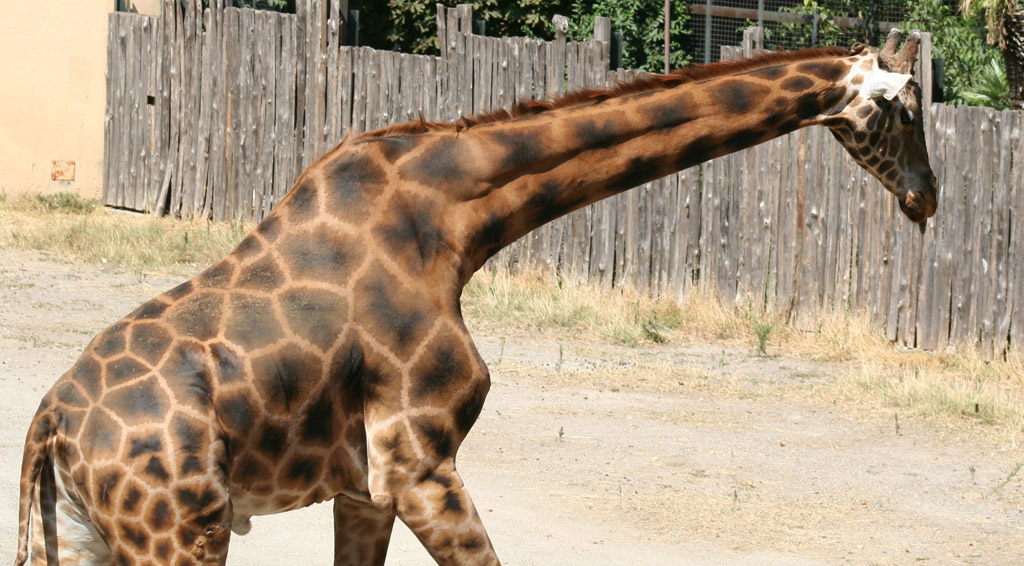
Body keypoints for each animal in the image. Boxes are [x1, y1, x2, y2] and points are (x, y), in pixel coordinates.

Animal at [15, 30, 935, 566]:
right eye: (909, 111)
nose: (926, 199)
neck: (455, 222)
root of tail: (49, 428)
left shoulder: (364, 487)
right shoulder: (421, 464)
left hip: (88, 540)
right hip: (180, 535)